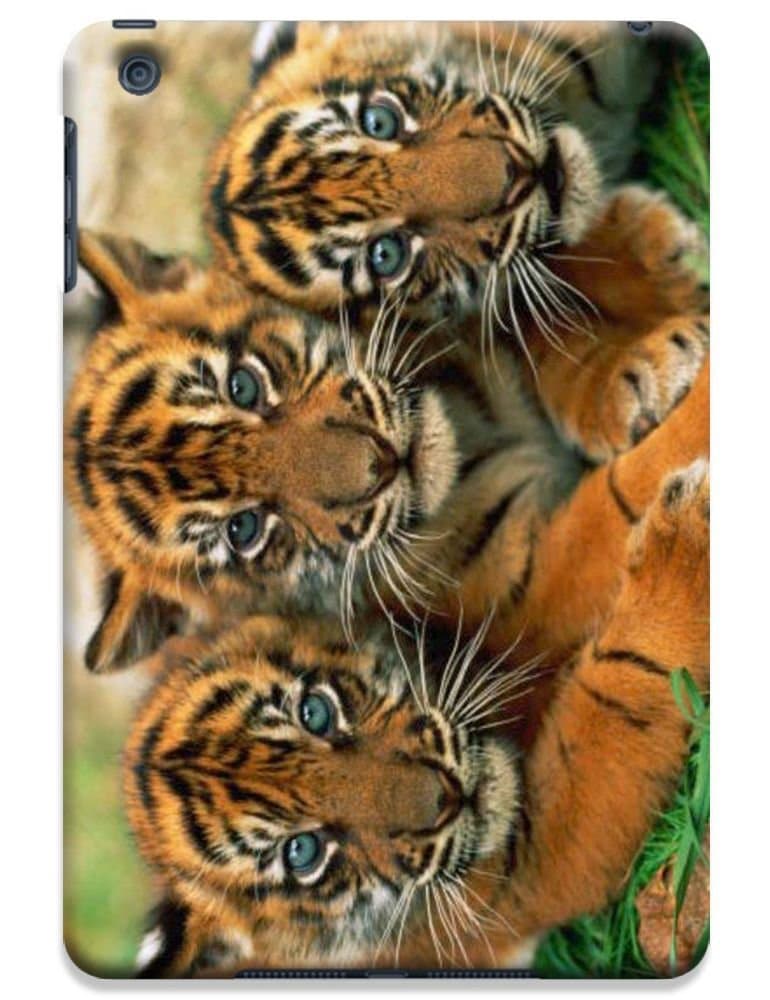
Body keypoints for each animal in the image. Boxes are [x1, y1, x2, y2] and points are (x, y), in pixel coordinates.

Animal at [65, 185, 708, 673]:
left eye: (243, 386)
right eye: (244, 530)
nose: (381, 462)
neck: (473, 422)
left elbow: (538, 320)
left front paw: (650, 266)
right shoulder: (533, 585)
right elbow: (625, 495)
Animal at [124, 457, 709, 976]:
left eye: (316, 712)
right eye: (303, 853)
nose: (444, 798)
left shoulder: (503, 610)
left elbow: (609, 504)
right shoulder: (531, 865)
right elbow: (620, 681)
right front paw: (686, 544)